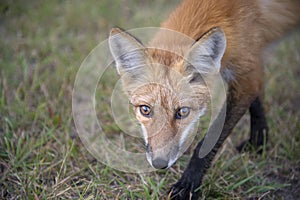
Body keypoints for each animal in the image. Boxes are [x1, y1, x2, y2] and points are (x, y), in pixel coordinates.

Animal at [108, 0, 300, 198]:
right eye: (145, 110)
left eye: (183, 112)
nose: (159, 163)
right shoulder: (251, 66)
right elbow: (257, 102)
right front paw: (259, 142)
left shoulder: (246, 73)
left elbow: (208, 141)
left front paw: (188, 184)